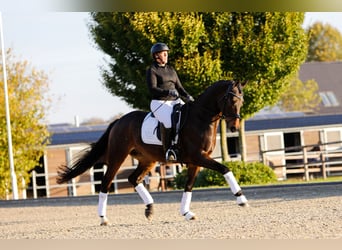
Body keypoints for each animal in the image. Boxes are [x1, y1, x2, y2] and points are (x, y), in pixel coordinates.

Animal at [56, 79, 248, 225]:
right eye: (232, 101)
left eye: (242, 102)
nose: (233, 127)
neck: (201, 118)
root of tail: (119, 121)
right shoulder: (198, 157)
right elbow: (225, 169)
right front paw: (241, 199)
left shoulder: (195, 161)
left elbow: (188, 186)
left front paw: (186, 213)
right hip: (118, 156)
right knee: (106, 182)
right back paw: (103, 218)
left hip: (147, 160)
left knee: (133, 179)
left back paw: (149, 208)